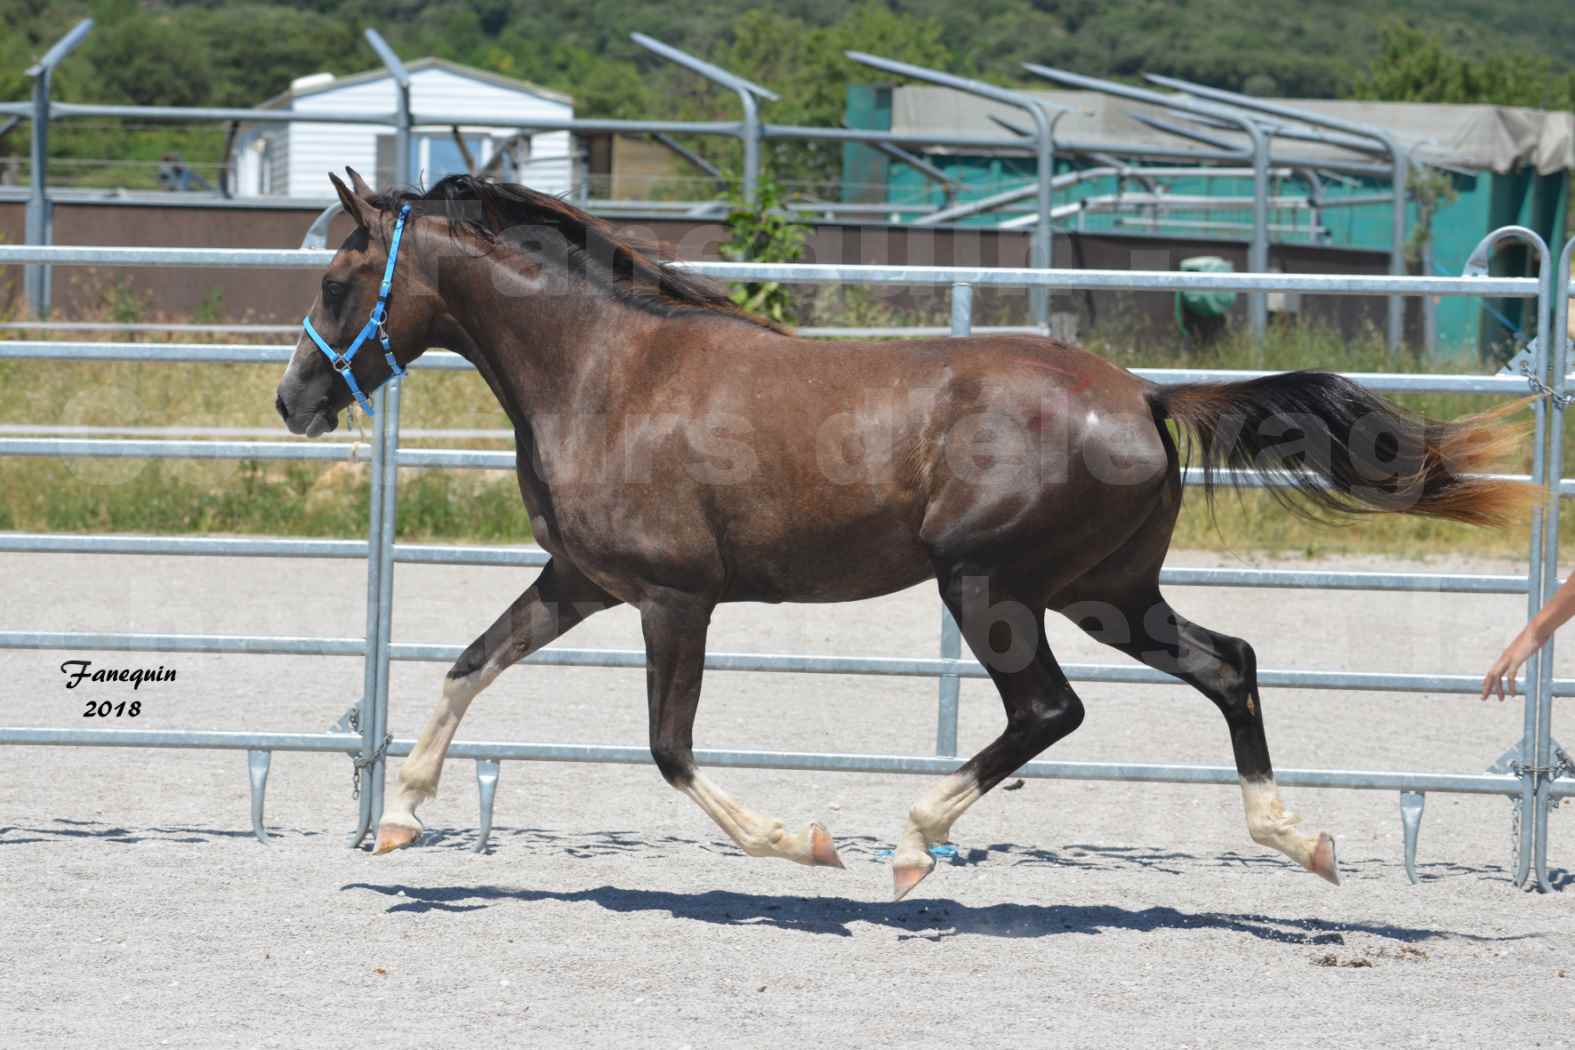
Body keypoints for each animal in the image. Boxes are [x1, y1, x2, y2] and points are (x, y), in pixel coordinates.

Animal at [274, 172, 1524, 906]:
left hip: (988, 587)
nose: (294, 401)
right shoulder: (580, 579)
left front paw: (803, 840)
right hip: (1108, 595)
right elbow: (467, 667)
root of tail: (1146, 393)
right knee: (1229, 665)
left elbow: (670, 748)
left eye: (338, 278)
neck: (608, 374)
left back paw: (914, 841)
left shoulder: (675, 598)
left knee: (1052, 712)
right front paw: (398, 821)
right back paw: (1297, 838)